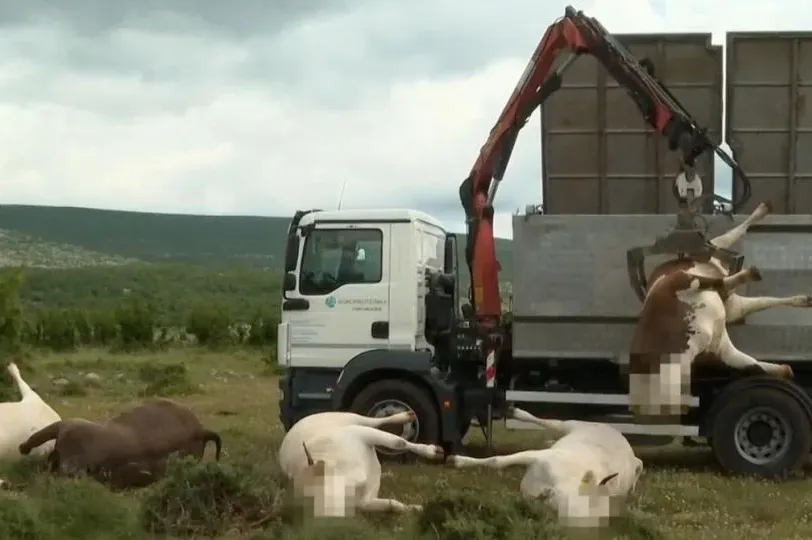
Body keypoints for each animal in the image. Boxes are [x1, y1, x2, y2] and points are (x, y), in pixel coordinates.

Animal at [280, 412, 444, 516]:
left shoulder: (359, 433)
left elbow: (398, 442)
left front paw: (432, 451)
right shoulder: (366, 502)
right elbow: (392, 505)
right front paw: (416, 508)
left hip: (348, 418)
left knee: (373, 421)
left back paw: (404, 416)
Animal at [444, 404, 640, 528]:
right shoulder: (541, 456)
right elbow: (497, 461)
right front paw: (456, 460)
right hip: (576, 425)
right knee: (554, 422)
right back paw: (516, 412)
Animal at [628, 200, 800, 420]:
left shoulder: (680, 281)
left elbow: (714, 282)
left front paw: (752, 273)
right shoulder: (724, 348)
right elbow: (752, 363)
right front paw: (784, 369)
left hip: (704, 256)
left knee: (726, 240)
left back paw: (763, 210)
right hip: (729, 301)